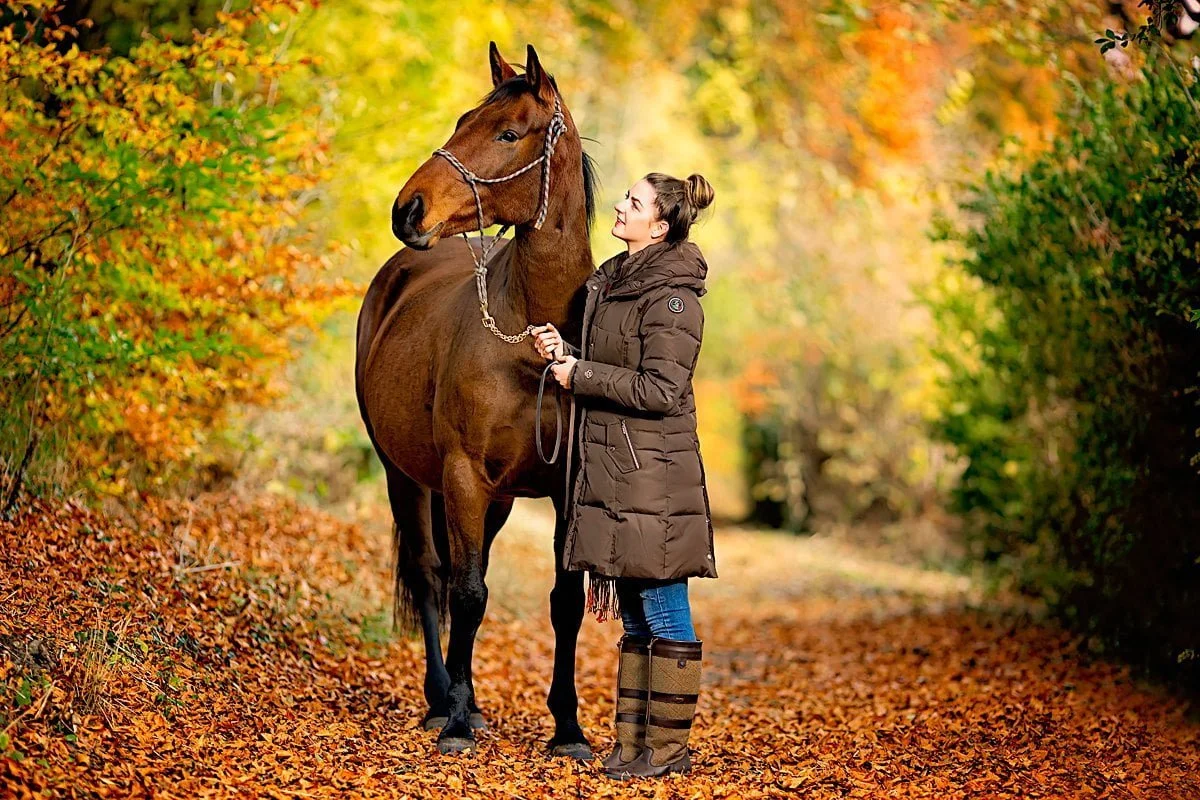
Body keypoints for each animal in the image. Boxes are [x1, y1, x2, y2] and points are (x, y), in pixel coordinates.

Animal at [354, 42, 600, 757]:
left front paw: (568, 728)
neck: (535, 343)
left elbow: (563, 602)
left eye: (508, 134)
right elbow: (464, 593)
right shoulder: (461, 476)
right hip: (404, 476)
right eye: (464, 119)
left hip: (493, 501)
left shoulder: (564, 489)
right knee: (433, 574)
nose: (408, 209)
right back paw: (444, 698)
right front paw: (458, 721)